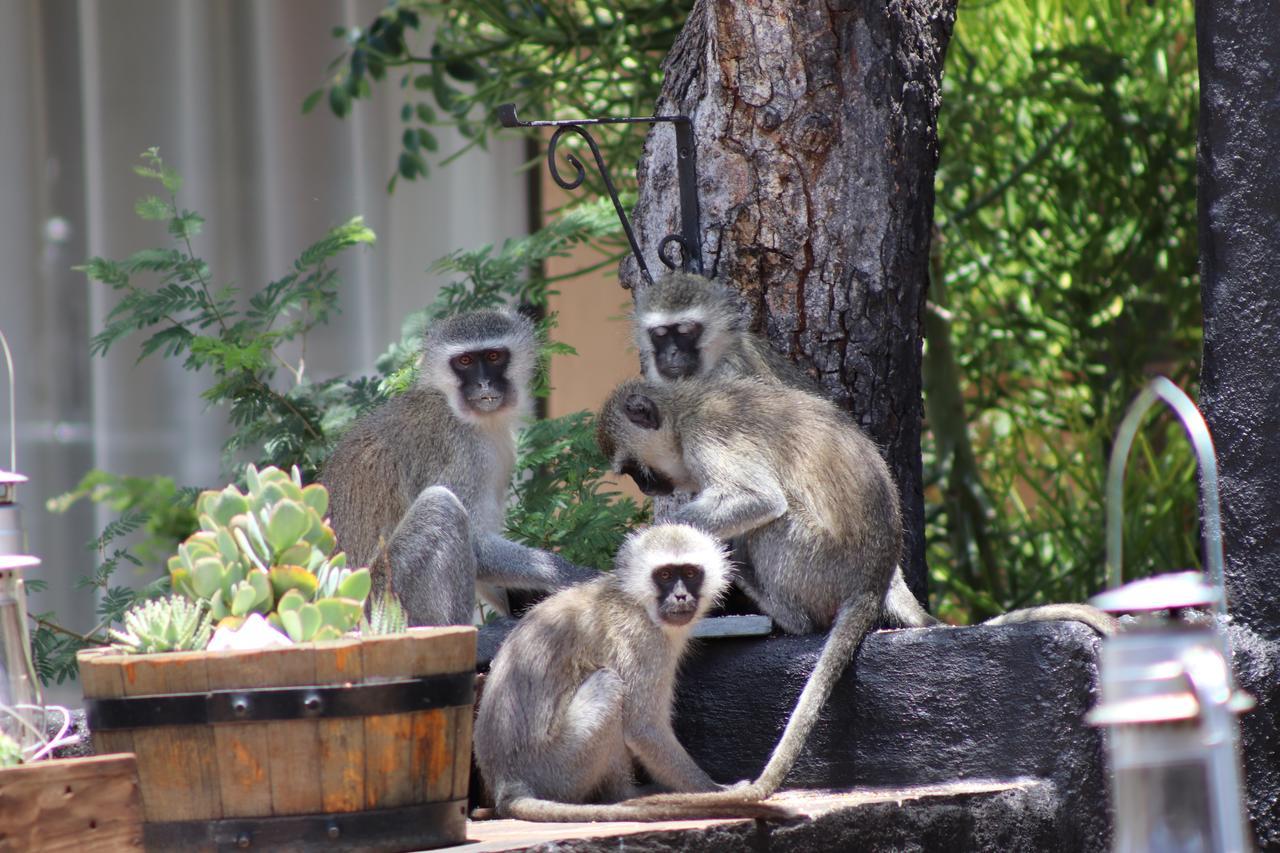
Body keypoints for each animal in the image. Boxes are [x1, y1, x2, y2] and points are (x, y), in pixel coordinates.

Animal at [320, 311, 599, 625]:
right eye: (465, 361)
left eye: (493, 356)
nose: (484, 384)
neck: (456, 408)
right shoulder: (458, 450)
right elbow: (477, 545)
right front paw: (579, 576)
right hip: (386, 599)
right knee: (442, 507)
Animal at [473, 522, 783, 819]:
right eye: (665, 575)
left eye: (691, 573)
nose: (681, 596)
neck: (637, 601)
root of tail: (507, 782)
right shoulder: (644, 641)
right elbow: (643, 728)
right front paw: (716, 790)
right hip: (559, 767)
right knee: (609, 685)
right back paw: (624, 794)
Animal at [596, 376, 1111, 799]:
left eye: (636, 470)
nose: (647, 489)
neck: (685, 406)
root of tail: (873, 580)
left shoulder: (711, 435)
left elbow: (757, 499)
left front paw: (641, 542)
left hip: (816, 564)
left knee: (774, 525)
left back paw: (773, 604)